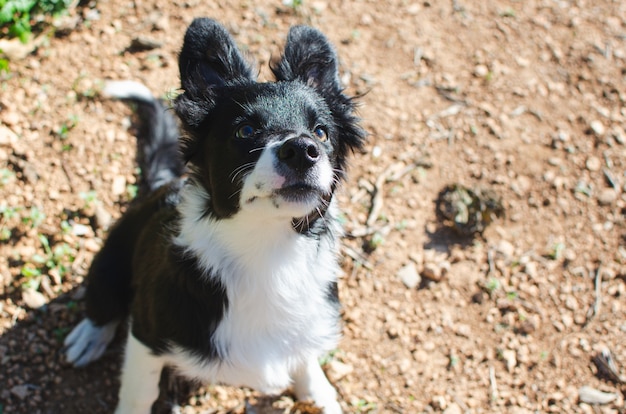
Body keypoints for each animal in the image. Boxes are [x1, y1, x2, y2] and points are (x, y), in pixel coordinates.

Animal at [61, 17, 364, 412]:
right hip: (109, 261)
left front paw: (318, 389)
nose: (302, 149)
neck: (269, 254)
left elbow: (305, 356)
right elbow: (139, 394)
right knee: (103, 301)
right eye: (245, 130)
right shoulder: (146, 334)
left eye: (321, 132)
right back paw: (89, 335)